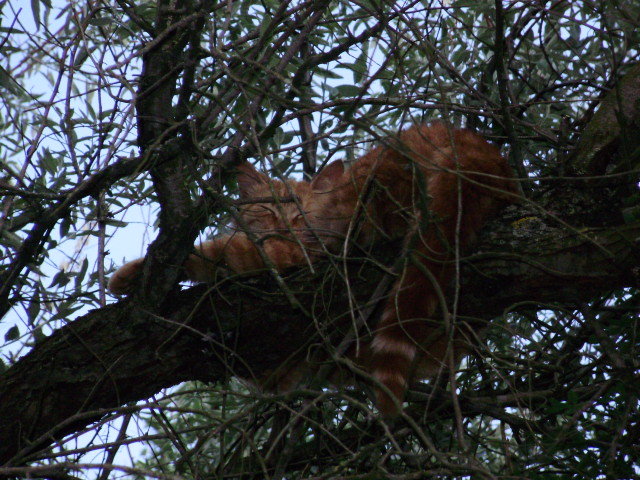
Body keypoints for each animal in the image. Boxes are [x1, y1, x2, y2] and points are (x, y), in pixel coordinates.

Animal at [109, 123, 520, 416]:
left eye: (300, 214)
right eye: (267, 209)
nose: (286, 225)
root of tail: (485, 150)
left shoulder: (288, 254)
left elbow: (215, 250)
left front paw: (130, 274)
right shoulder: (277, 373)